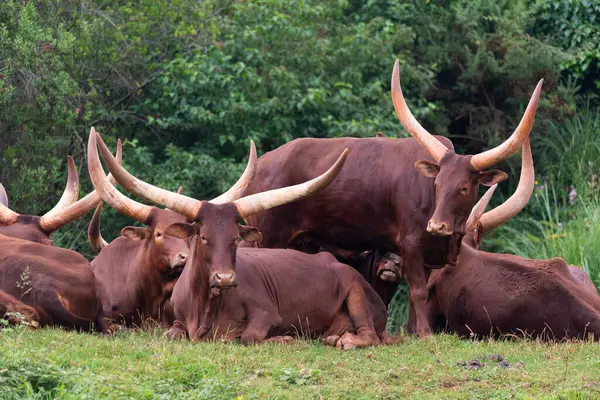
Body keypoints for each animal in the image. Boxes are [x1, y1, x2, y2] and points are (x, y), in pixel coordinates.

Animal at [237, 60, 540, 334]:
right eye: (437, 183)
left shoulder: (427, 253)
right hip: (268, 236)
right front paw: (425, 335)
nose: (437, 226)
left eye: (464, 187)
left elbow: (418, 296)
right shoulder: (410, 242)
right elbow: (418, 291)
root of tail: (262, 164)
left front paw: (413, 332)